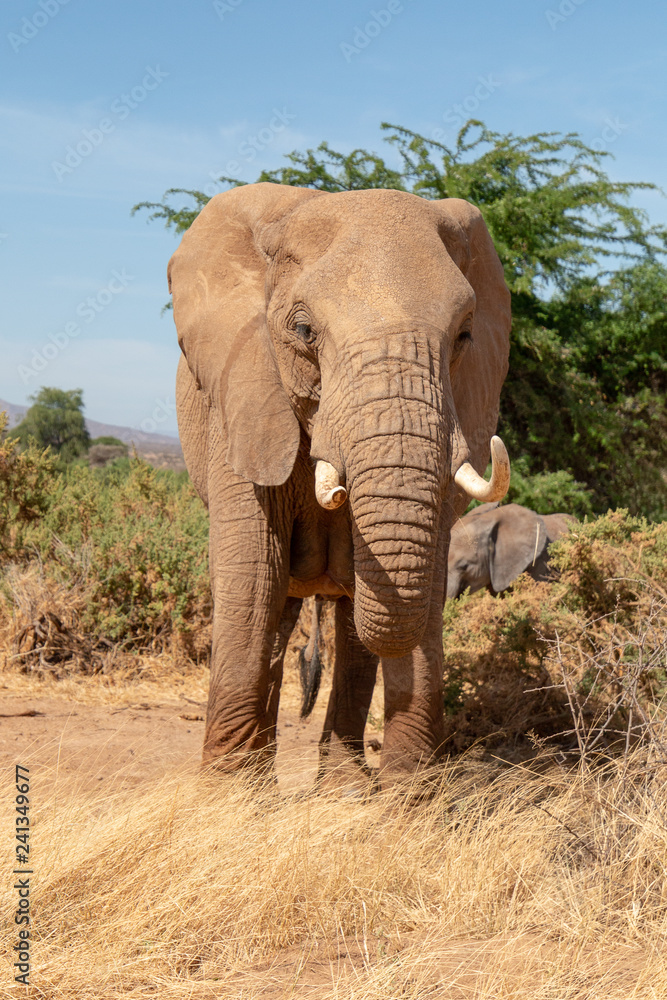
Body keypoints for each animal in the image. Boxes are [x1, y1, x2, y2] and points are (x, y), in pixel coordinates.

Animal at [168, 181, 512, 789]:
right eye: (303, 331)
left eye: (465, 336)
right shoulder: (243, 395)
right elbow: (253, 574)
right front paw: (227, 797)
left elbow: (409, 586)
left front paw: (408, 799)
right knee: (276, 613)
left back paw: (345, 786)